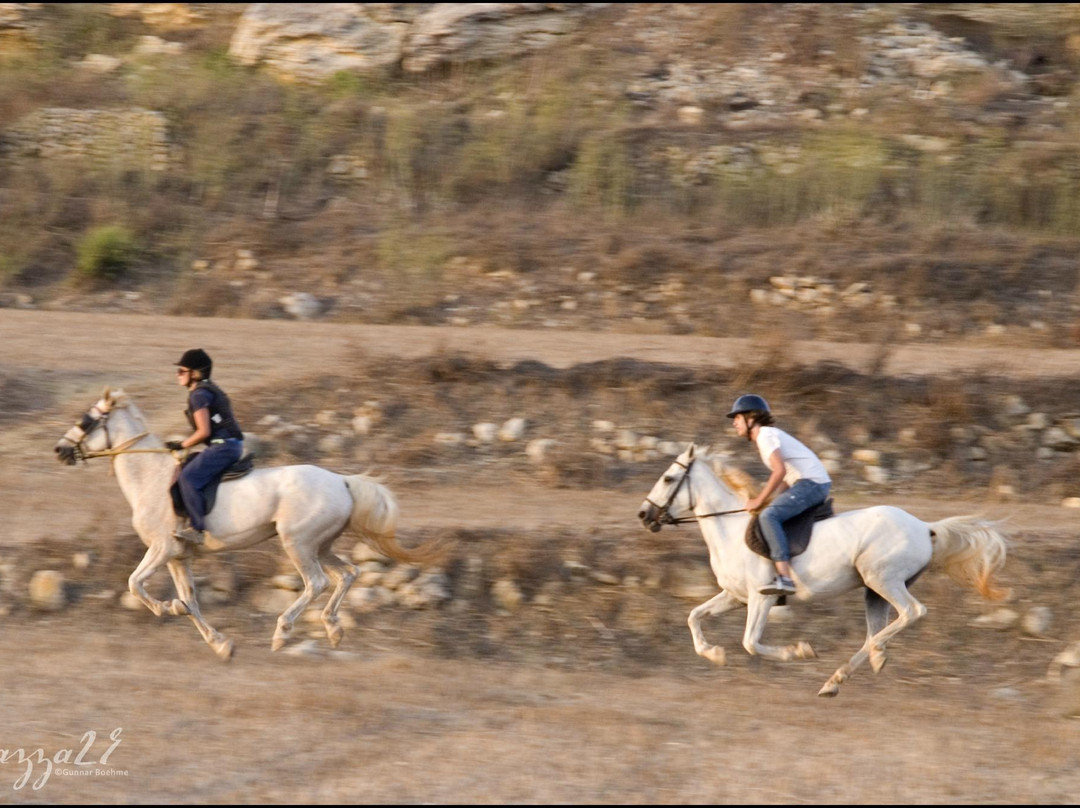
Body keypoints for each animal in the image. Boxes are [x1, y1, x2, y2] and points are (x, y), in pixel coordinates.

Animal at [53, 388, 442, 661]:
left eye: (87, 420)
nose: (60, 451)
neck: (149, 477)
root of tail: (341, 481)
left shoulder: (162, 548)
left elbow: (135, 584)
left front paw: (166, 608)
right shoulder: (179, 556)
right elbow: (191, 600)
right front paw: (221, 644)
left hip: (298, 543)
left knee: (316, 583)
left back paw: (282, 633)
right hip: (322, 545)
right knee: (348, 574)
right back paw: (333, 630)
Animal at [635, 445, 1006, 695]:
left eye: (668, 478)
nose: (644, 515)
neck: (731, 527)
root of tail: (925, 527)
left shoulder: (762, 598)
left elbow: (750, 642)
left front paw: (799, 650)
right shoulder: (735, 597)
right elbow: (694, 617)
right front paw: (714, 654)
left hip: (882, 579)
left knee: (912, 613)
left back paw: (869, 658)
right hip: (874, 591)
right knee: (876, 631)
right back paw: (841, 677)